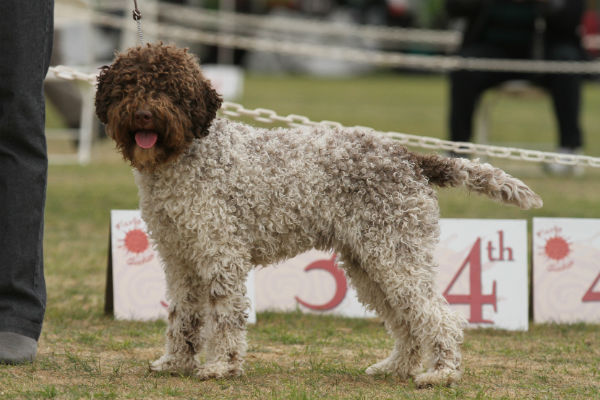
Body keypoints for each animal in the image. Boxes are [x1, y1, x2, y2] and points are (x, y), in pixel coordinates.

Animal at [95, 43, 544, 388]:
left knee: (439, 316)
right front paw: (176, 363)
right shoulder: (179, 258)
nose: (144, 115)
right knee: (407, 322)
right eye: (129, 85)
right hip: (369, 262)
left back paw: (443, 374)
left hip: (396, 255)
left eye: (171, 90)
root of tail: (409, 158)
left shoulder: (220, 254)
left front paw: (222, 366)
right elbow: (183, 316)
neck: (186, 157)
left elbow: (224, 315)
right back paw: (395, 368)